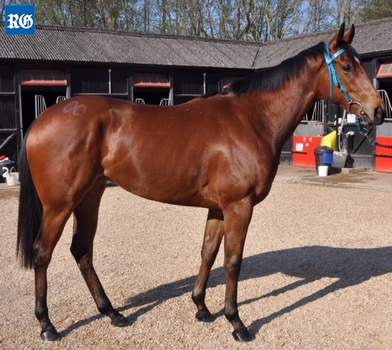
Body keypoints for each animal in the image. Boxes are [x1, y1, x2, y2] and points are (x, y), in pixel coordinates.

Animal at [16, 23, 384, 344]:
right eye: (347, 67)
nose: (378, 110)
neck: (251, 119)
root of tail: (41, 120)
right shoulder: (239, 206)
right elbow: (233, 261)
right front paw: (236, 322)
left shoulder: (219, 208)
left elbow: (208, 253)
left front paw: (202, 308)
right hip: (60, 205)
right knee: (42, 253)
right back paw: (47, 325)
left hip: (89, 197)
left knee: (82, 251)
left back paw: (113, 314)